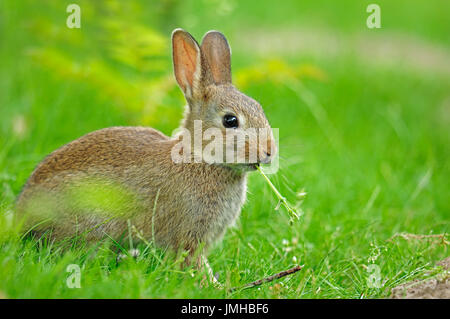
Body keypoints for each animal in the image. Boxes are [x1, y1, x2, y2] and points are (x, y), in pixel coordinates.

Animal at [15, 29, 276, 284]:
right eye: (230, 121)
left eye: (260, 108)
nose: (269, 151)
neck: (199, 156)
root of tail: (22, 213)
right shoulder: (188, 235)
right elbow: (192, 261)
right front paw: (214, 286)